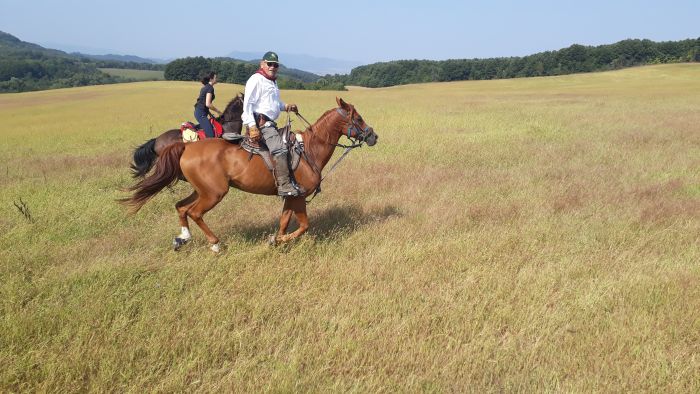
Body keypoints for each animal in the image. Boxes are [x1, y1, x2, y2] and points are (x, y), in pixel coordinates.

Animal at [123, 98, 380, 252]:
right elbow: (304, 225)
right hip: (214, 193)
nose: (373, 136)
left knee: (181, 207)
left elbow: (284, 221)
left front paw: (276, 240)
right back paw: (215, 245)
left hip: (201, 190)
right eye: (358, 118)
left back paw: (182, 238)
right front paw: (277, 240)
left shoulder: (289, 196)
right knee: (194, 212)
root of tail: (186, 147)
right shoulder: (299, 196)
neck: (309, 150)